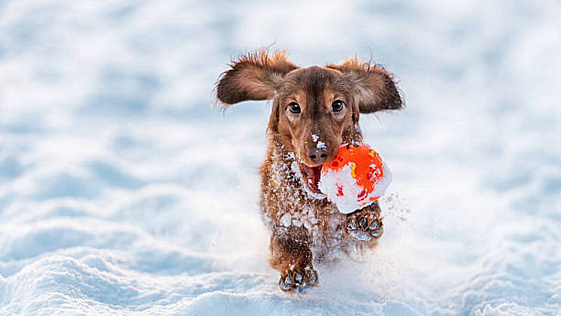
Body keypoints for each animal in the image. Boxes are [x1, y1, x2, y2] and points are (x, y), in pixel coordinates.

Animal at [214, 50, 402, 292]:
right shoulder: (282, 223)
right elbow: (289, 245)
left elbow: (367, 221)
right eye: (294, 107)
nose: (318, 152)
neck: (317, 203)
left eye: (337, 105)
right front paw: (297, 270)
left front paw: (364, 218)